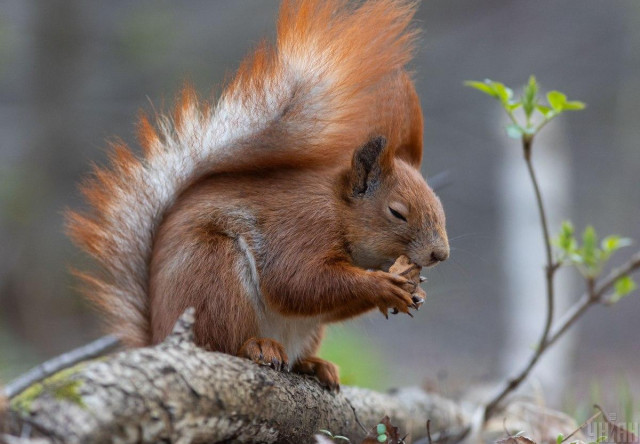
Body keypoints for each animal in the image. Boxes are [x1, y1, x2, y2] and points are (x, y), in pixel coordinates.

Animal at [65, 0, 444, 390]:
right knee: (221, 340)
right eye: (397, 212)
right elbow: (296, 282)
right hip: (212, 275)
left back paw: (313, 364)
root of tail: (160, 336)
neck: (340, 213)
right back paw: (255, 346)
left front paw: (414, 291)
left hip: (303, 329)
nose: (440, 254)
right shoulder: (302, 228)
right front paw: (382, 286)